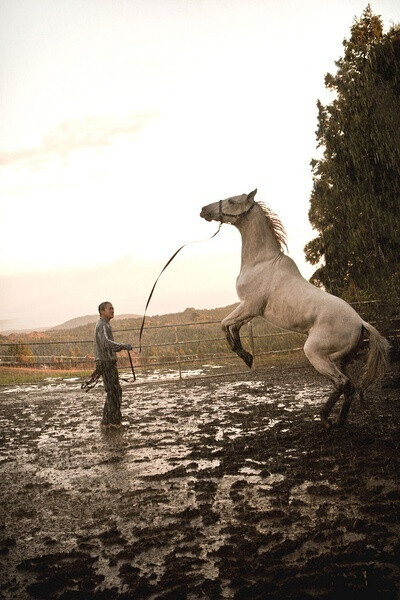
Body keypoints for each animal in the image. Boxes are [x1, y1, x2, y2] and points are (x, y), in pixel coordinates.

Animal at [202, 188, 390, 426]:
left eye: (232, 201)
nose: (203, 210)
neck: (261, 262)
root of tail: (360, 322)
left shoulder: (250, 306)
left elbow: (224, 324)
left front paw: (245, 356)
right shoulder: (251, 311)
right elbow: (233, 327)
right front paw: (247, 356)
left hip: (316, 353)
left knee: (343, 383)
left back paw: (326, 418)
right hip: (339, 359)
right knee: (350, 386)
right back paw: (339, 421)